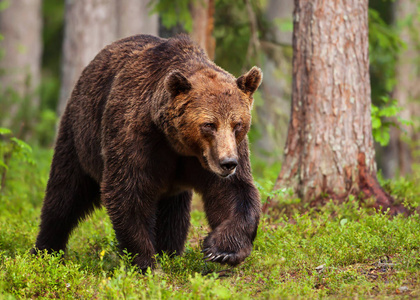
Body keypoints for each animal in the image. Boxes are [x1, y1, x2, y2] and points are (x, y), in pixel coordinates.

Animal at [32, 33, 262, 272]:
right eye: (209, 124)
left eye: (237, 124)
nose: (228, 163)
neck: (177, 143)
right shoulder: (137, 137)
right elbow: (128, 192)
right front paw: (145, 261)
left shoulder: (212, 157)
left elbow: (233, 192)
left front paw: (222, 250)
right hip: (81, 134)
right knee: (65, 193)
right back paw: (46, 250)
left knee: (174, 213)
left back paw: (170, 251)